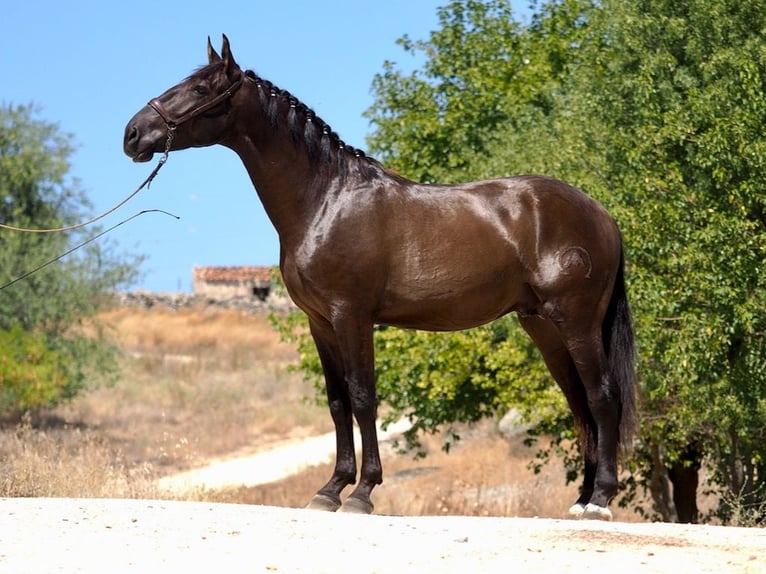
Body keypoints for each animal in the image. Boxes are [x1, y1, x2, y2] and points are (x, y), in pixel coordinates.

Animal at [126, 36, 640, 520]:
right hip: (543, 327)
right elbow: (336, 402)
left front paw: (362, 492)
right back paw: (580, 499)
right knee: (579, 404)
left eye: (199, 88)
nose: (132, 134)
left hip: (576, 322)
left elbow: (363, 396)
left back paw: (600, 500)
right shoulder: (320, 322)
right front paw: (330, 490)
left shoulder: (351, 315)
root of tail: (602, 215)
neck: (326, 199)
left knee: (602, 397)